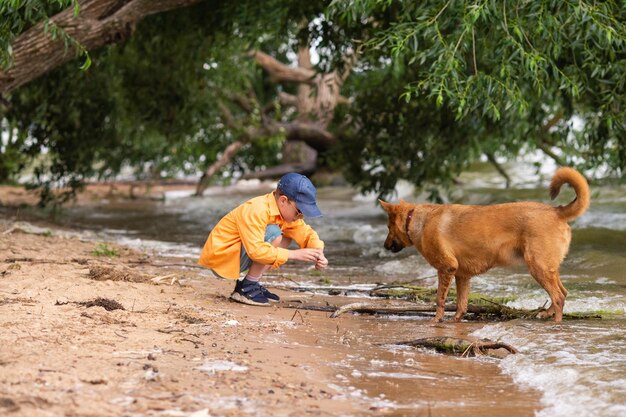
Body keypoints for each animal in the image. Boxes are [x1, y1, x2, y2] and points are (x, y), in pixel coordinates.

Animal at [378, 167, 588, 324]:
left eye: (388, 227)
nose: (385, 246)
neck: (414, 219)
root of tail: (557, 211)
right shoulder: (462, 275)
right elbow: (461, 303)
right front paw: (456, 321)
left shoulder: (446, 268)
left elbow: (440, 299)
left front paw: (436, 320)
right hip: (547, 267)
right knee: (563, 293)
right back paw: (547, 313)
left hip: (538, 266)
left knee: (558, 297)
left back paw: (556, 322)